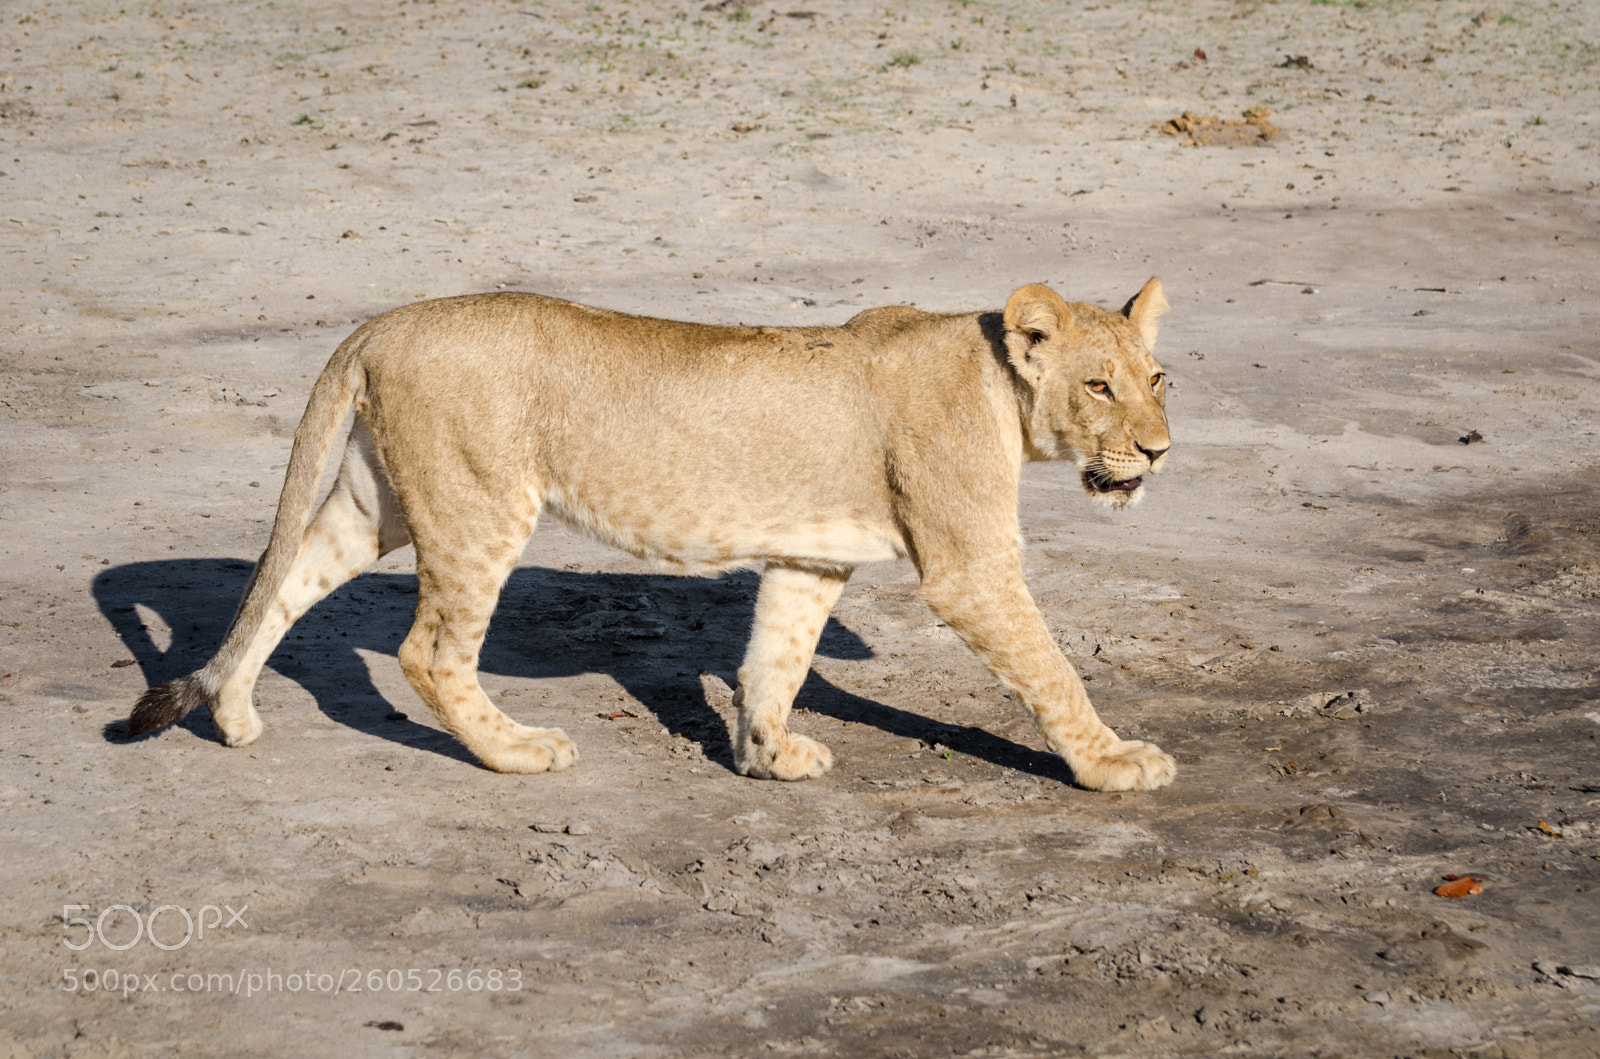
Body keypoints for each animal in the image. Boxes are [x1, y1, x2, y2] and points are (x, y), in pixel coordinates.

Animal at [128, 279, 1176, 792]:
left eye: (1157, 377)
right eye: (1099, 385)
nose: (1160, 452)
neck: (1000, 382)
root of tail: (382, 323)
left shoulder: (810, 554)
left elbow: (776, 657)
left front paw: (767, 757)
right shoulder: (970, 567)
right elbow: (1052, 671)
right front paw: (1114, 763)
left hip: (378, 497)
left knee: (288, 578)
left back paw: (234, 714)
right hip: (482, 504)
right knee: (428, 651)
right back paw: (515, 751)